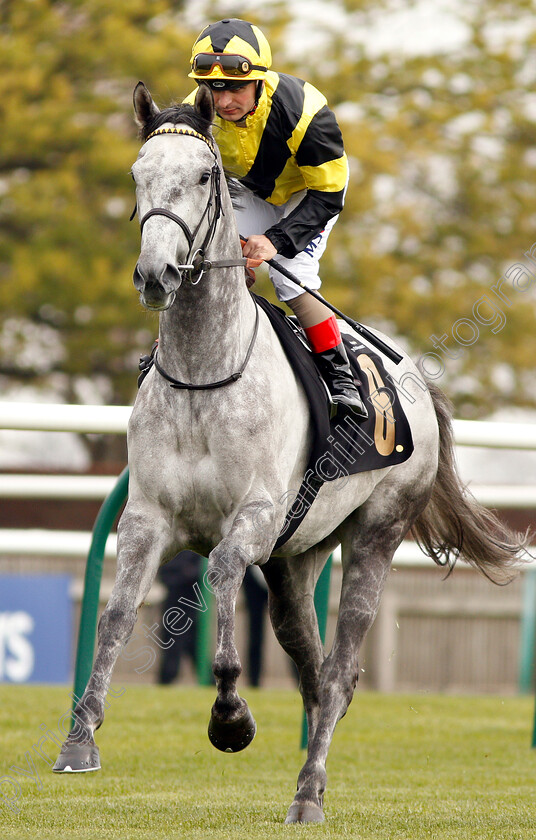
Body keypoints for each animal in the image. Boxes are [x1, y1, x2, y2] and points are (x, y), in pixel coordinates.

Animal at [54, 83, 528, 820]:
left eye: (204, 176)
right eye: (137, 175)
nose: (156, 274)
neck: (206, 372)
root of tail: (416, 382)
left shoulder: (254, 517)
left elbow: (221, 573)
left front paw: (230, 716)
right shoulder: (147, 518)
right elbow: (116, 613)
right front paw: (81, 738)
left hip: (375, 534)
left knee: (338, 671)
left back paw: (307, 793)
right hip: (296, 559)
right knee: (311, 662)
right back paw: (314, 777)